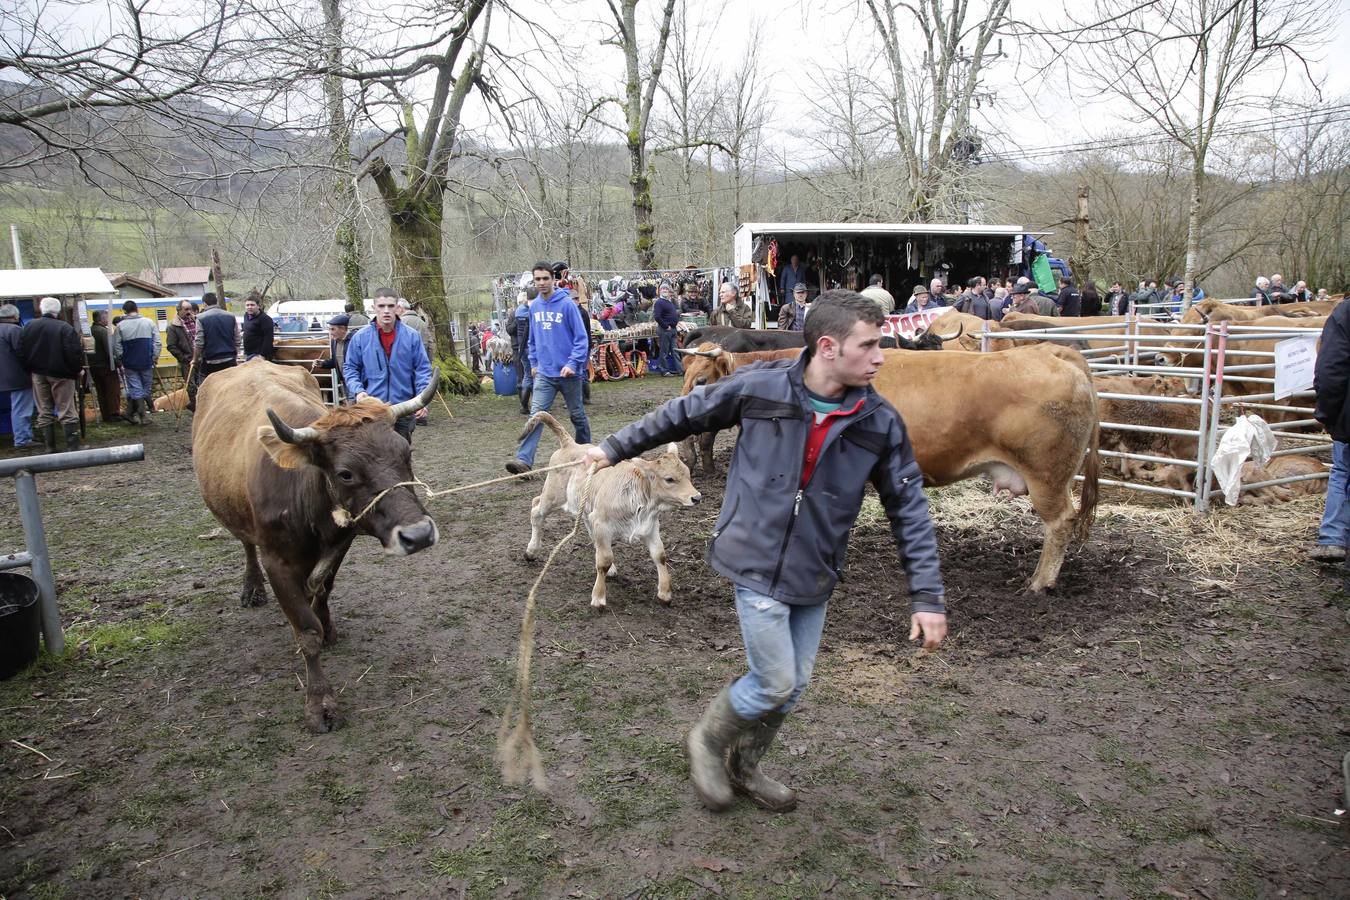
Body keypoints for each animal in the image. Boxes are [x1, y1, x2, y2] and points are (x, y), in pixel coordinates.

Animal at [191, 358, 437, 734]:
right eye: (345, 473)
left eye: (406, 453)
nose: (419, 534)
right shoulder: (276, 562)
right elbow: (306, 632)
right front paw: (320, 703)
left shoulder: (340, 544)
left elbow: (323, 588)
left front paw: (327, 626)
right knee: (246, 544)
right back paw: (252, 589)